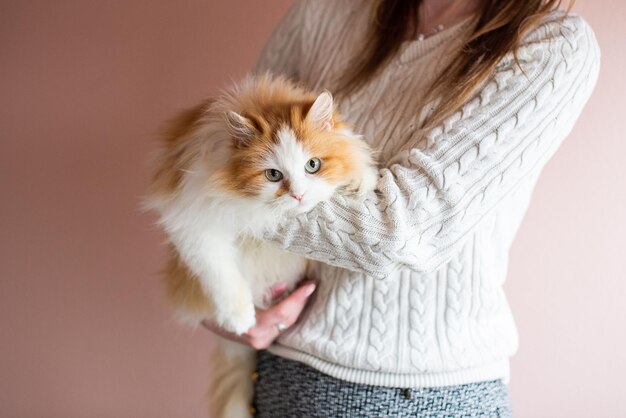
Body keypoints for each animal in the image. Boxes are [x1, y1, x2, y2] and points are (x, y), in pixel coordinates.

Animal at [145, 75, 376, 418]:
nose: (298, 196)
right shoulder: (193, 224)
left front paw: (362, 178)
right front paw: (239, 318)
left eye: (313, 165)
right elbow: (221, 275)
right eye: (273, 175)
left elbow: (357, 156)